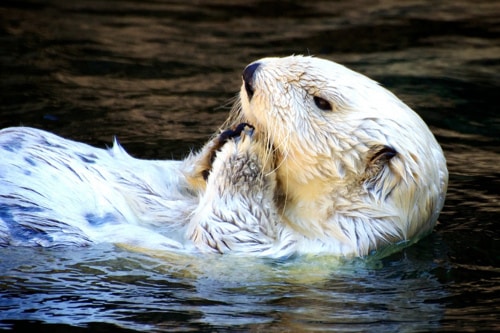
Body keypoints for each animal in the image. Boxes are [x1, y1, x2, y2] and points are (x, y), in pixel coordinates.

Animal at [0, 55, 450, 256]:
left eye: (322, 102)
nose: (251, 72)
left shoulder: (306, 250)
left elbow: (227, 231)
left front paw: (247, 154)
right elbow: (177, 180)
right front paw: (227, 138)